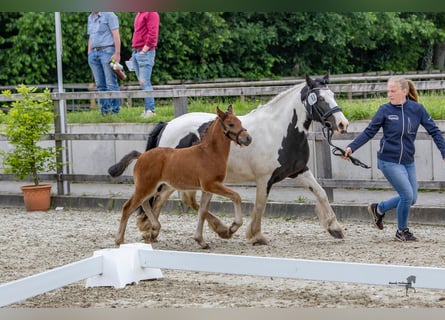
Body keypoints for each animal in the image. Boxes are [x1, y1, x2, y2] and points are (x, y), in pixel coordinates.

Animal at [109, 105, 251, 248]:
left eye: (240, 122)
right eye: (231, 124)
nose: (248, 138)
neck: (209, 153)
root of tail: (141, 155)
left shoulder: (208, 189)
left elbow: (202, 211)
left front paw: (201, 240)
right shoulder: (211, 184)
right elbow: (236, 196)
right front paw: (232, 227)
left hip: (150, 187)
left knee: (145, 203)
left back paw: (154, 229)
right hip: (146, 186)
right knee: (128, 207)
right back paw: (119, 240)